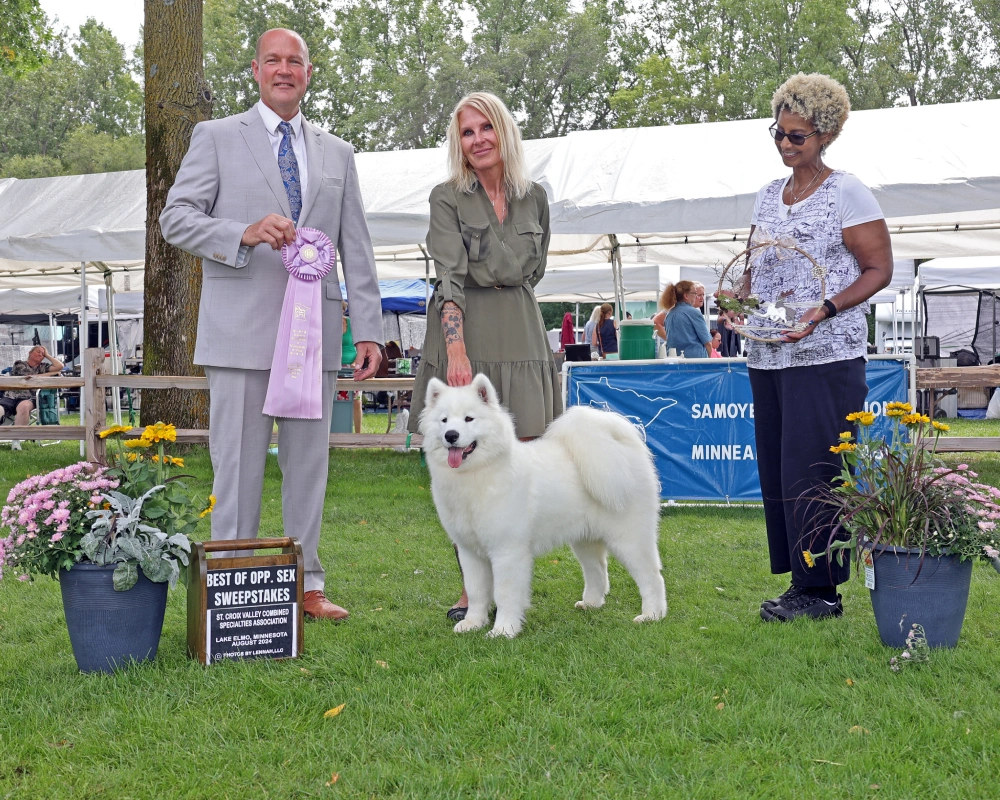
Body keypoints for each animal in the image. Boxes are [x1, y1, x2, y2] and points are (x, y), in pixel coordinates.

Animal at [418, 372, 668, 640]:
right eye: (444, 420)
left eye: (469, 418)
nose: (451, 435)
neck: (476, 475)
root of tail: (622, 446)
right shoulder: (469, 551)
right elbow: (475, 592)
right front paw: (473, 623)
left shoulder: (508, 551)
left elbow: (504, 594)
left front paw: (503, 630)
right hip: (585, 539)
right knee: (598, 570)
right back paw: (590, 604)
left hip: (629, 538)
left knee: (652, 576)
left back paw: (652, 615)